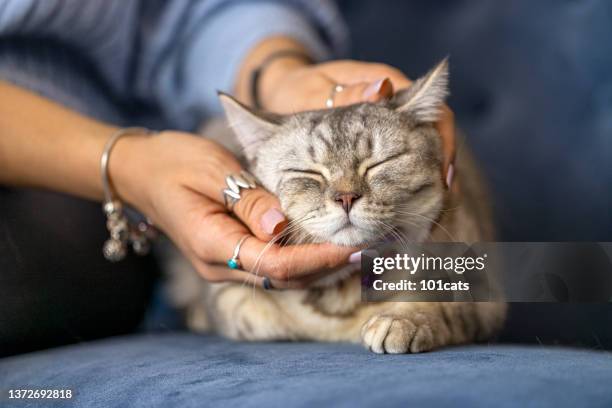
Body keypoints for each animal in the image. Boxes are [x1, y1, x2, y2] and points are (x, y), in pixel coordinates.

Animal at [167, 58, 506, 354]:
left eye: (378, 164)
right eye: (308, 172)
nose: (345, 198)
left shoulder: (484, 287)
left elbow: (445, 304)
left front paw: (401, 320)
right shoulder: (229, 299)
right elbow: (255, 319)